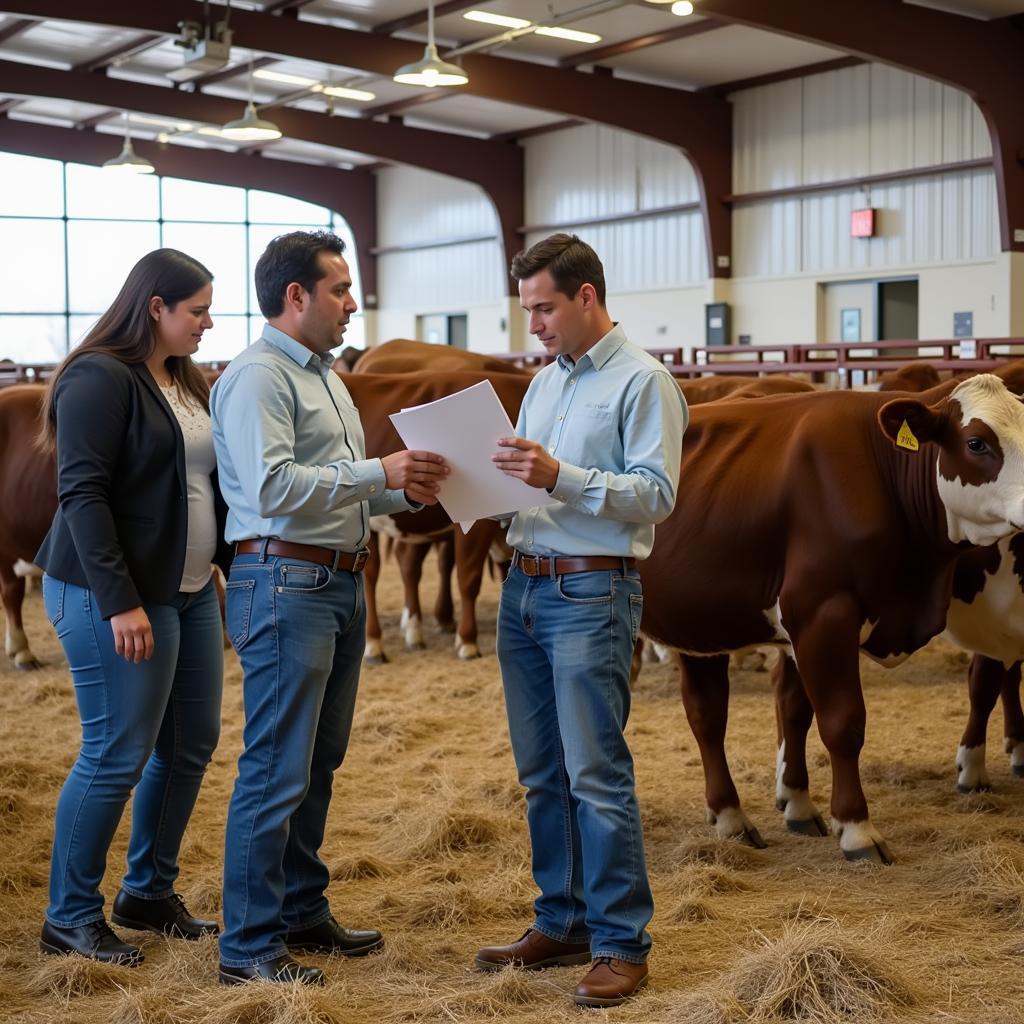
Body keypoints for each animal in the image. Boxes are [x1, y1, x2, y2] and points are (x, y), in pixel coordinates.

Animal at [643, 376, 1024, 864]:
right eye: (976, 442)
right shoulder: (822, 613)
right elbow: (843, 722)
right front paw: (858, 830)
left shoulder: (801, 631)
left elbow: (798, 711)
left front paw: (801, 807)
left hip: (699, 622)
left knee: (706, 714)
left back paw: (730, 817)